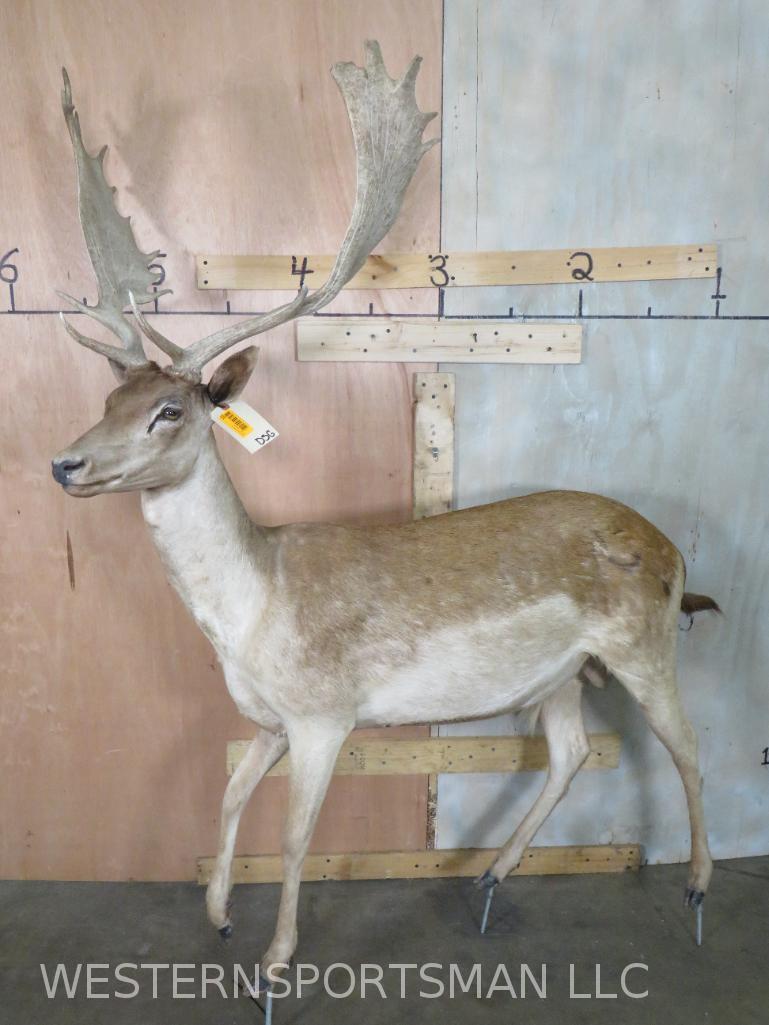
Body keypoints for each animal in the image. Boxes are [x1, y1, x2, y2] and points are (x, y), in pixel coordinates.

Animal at [51, 42, 719, 991]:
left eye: (168, 412)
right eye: (108, 398)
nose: (65, 462)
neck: (252, 613)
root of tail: (674, 553)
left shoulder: (324, 711)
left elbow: (297, 835)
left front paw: (275, 962)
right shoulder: (267, 717)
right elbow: (227, 794)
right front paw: (217, 915)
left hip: (644, 643)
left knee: (688, 745)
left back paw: (694, 888)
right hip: (559, 675)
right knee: (568, 752)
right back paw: (487, 878)